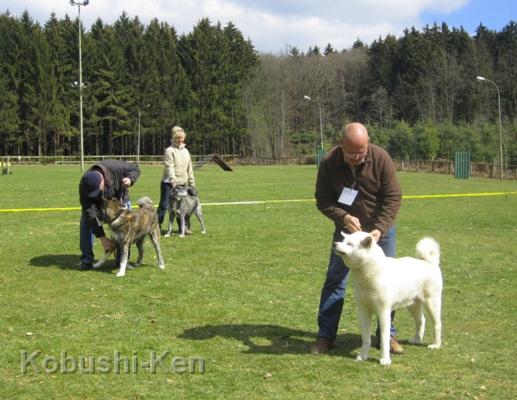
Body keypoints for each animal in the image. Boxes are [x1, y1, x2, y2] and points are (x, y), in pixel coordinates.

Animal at [332, 231, 442, 366]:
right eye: (343, 240)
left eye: (349, 244)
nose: (335, 243)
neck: (370, 271)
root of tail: (430, 263)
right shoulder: (363, 312)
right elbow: (366, 338)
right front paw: (363, 356)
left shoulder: (383, 312)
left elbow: (384, 339)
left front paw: (385, 360)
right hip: (413, 304)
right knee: (421, 321)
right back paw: (416, 339)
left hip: (432, 302)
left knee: (437, 323)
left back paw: (436, 345)